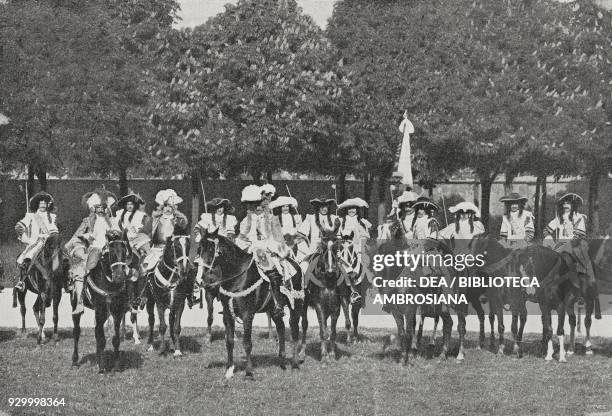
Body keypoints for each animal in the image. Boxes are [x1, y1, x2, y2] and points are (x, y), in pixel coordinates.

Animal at [71, 231, 134, 374]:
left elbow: (115, 339)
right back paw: (75, 361)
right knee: (77, 331)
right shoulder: (100, 311)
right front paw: (101, 367)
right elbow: (101, 339)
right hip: (77, 306)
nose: (119, 276)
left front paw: (116, 365)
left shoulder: (117, 312)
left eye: (125, 251)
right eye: (110, 252)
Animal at [200, 231, 304, 380]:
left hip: (296, 305)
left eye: (211, 249)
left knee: (294, 330)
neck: (238, 277)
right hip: (274, 310)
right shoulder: (227, 314)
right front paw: (229, 369)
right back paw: (282, 361)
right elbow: (229, 341)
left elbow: (247, 343)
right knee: (281, 328)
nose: (205, 281)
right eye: (199, 249)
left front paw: (249, 372)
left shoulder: (247, 315)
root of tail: (296, 264)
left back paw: (295, 364)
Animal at [300, 231, 346, 360]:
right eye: (323, 249)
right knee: (305, 325)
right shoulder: (318, 305)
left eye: (336, 249)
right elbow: (323, 331)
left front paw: (332, 353)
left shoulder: (336, 306)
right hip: (304, 304)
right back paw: (302, 352)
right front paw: (325, 355)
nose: (331, 271)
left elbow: (332, 332)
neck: (328, 281)